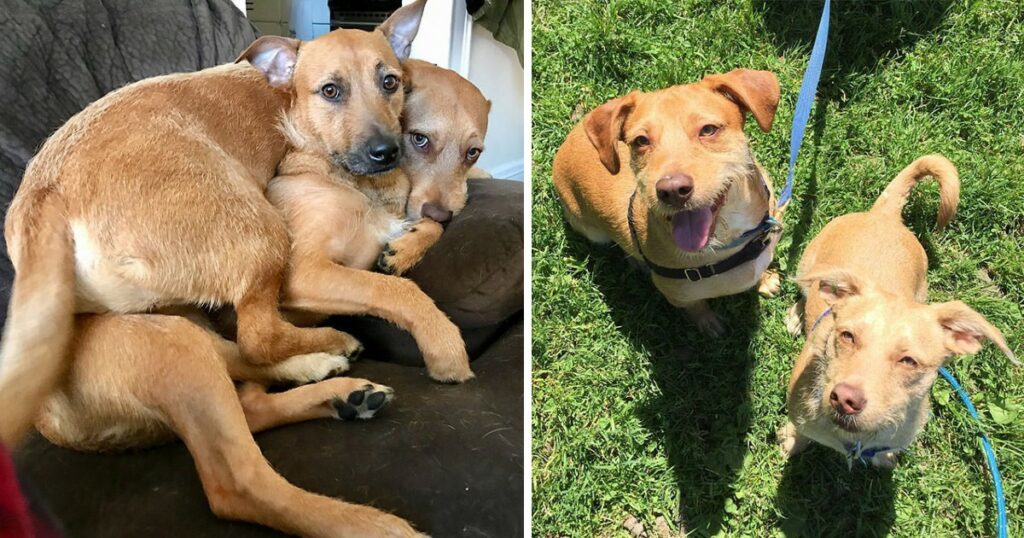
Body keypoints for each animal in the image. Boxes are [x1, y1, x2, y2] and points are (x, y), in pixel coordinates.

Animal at [552, 69, 782, 334]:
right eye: (640, 141)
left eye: (708, 129)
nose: (672, 190)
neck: (729, 243)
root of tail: (569, 139)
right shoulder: (679, 297)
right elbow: (697, 308)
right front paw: (708, 325)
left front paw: (765, 280)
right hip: (592, 231)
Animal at [774, 153, 1015, 465]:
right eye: (847, 336)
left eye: (909, 361)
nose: (845, 399)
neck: (855, 439)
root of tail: (884, 215)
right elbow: (800, 430)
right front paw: (792, 440)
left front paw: (885, 457)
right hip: (809, 262)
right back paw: (796, 315)